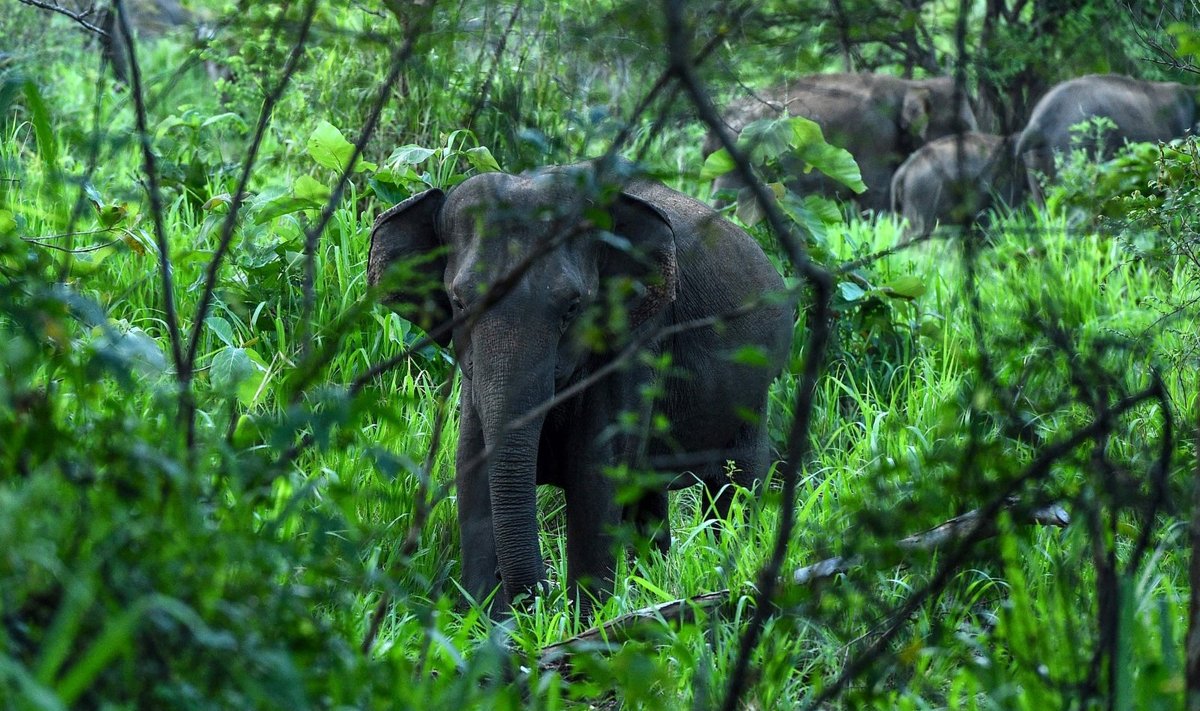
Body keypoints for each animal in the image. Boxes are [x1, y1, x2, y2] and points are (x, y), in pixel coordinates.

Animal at [367, 160, 796, 614]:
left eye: (573, 307)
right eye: (459, 302)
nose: (540, 596)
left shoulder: (636, 340)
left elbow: (595, 482)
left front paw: (585, 620)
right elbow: (473, 478)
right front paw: (486, 621)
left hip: (755, 392)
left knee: (737, 487)